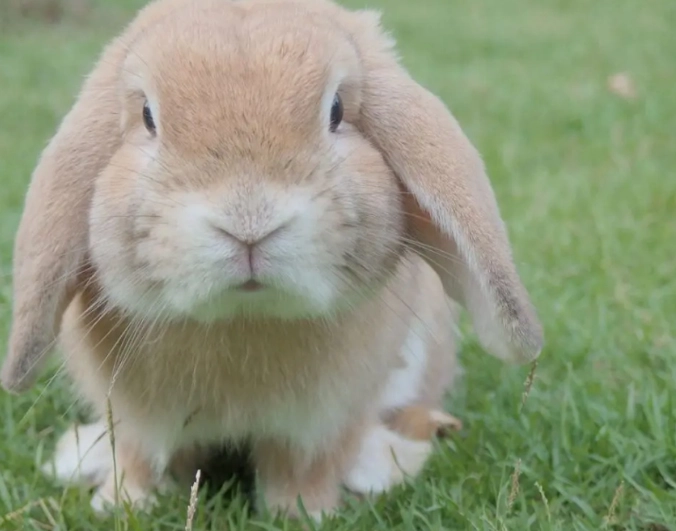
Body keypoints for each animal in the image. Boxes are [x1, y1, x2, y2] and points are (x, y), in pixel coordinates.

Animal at [1, 0, 544, 520]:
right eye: (148, 117)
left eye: (337, 110)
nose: (248, 221)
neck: (244, 319)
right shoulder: (135, 419)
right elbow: (139, 460)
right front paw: (121, 505)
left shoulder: (321, 423)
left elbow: (302, 468)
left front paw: (305, 513)